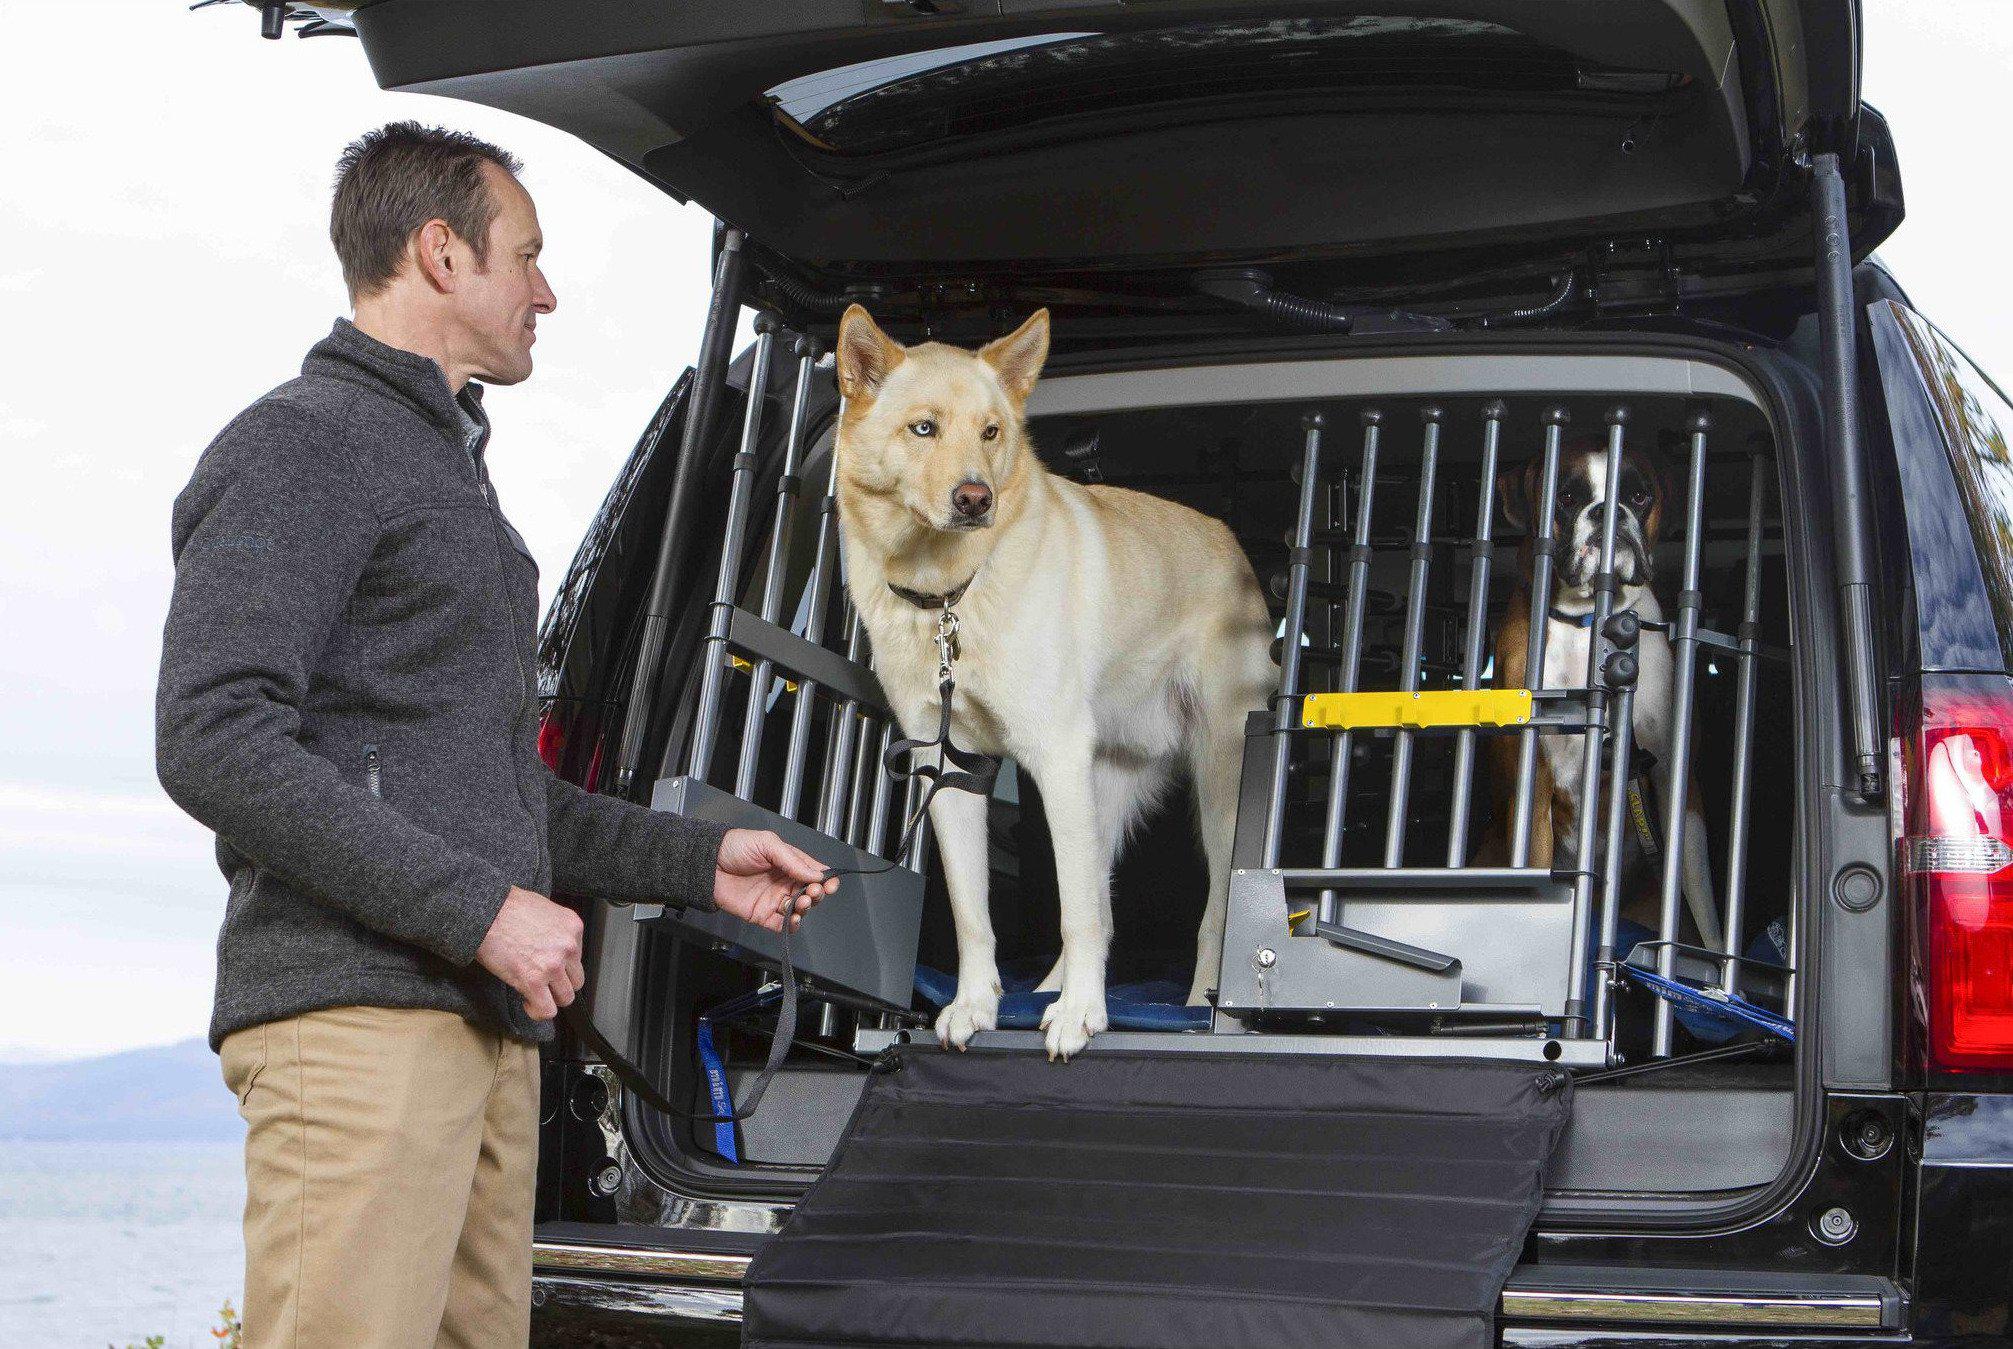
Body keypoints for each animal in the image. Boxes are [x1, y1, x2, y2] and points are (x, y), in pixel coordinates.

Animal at [833, 310, 1272, 1071]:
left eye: (990, 432)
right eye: (923, 428)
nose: (974, 498)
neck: (948, 595)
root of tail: (1232, 545)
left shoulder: (1054, 757)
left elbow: (1076, 912)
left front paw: (1082, 1015)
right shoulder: (950, 768)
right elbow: (974, 911)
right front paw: (977, 1004)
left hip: (1215, 787)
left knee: (1207, 905)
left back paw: (1197, 1006)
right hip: (1101, 788)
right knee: (1100, 898)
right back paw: (1048, 990)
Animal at [1489, 436, 1723, 950]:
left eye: (1638, 496)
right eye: (1566, 497)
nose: (1608, 510)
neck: (1589, 623)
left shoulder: (1676, 781)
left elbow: (1702, 899)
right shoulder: (1533, 788)